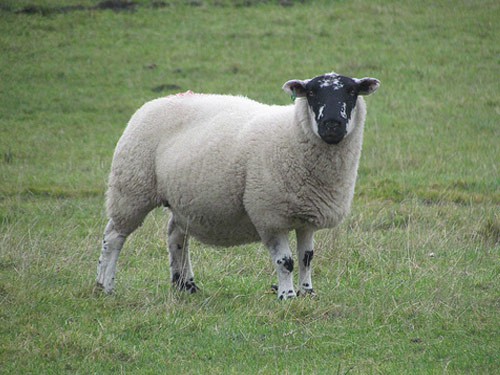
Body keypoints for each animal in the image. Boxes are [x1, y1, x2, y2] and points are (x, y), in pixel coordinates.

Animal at [96, 72, 378, 302]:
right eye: (311, 93)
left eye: (351, 92)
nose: (332, 124)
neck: (290, 135)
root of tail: (159, 101)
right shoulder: (269, 215)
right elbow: (286, 262)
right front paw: (287, 296)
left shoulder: (307, 215)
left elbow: (307, 258)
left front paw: (308, 293)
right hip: (131, 187)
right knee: (113, 237)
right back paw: (104, 285)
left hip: (183, 199)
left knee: (176, 236)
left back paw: (185, 286)